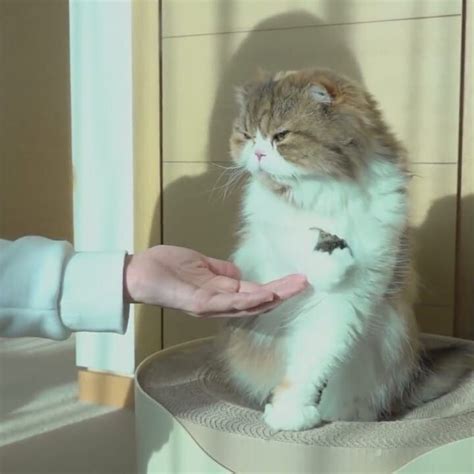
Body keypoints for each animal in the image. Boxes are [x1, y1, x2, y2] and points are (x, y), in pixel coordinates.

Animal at [219, 67, 470, 434]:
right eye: (248, 136)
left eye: (281, 136)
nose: (258, 154)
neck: (324, 194)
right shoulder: (266, 248)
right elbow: (293, 242)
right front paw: (326, 257)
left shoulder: (351, 295)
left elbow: (314, 358)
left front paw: (290, 412)